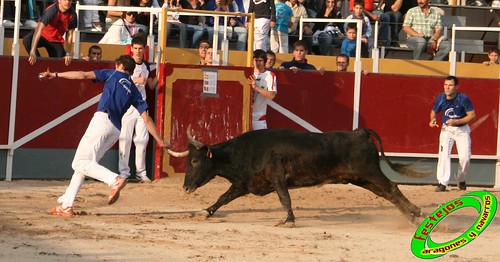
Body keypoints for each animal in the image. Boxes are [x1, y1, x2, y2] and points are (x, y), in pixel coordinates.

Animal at [169, 128, 430, 226]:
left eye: (195, 161)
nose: (185, 188)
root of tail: (360, 131)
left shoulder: (277, 178)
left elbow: (285, 199)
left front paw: (289, 221)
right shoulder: (243, 184)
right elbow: (223, 198)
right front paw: (204, 212)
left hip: (370, 172)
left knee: (392, 188)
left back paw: (415, 214)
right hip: (361, 178)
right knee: (388, 194)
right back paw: (414, 215)